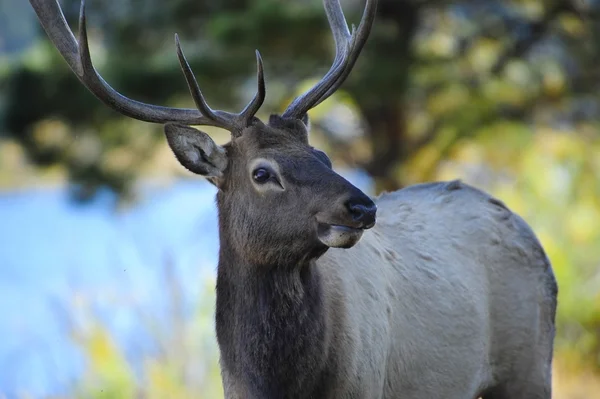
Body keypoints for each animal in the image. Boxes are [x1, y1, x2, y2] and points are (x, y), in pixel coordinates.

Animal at [31, 0, 556, 399]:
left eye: (322, 154)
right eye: (263, 173)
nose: (362, 207)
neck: (280, 384)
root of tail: (520, 222)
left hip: (530, 366)